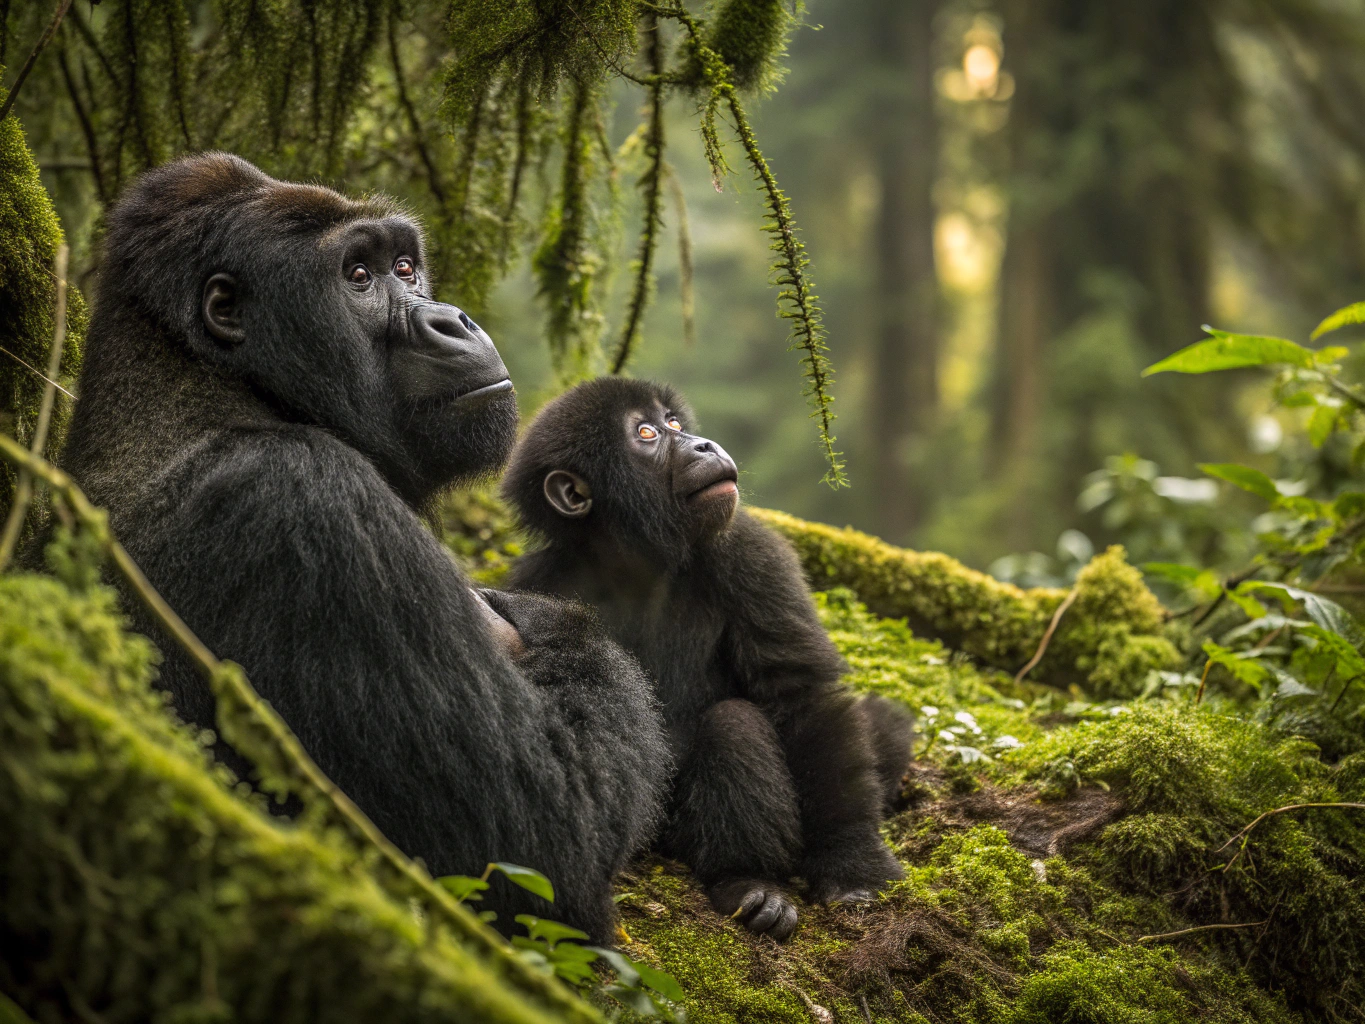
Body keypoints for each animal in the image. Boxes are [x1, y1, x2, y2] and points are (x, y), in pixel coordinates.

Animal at [58, 153, 670, 941]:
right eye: (357, 276)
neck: (211, 378)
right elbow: (539, 839)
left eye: (405, 267)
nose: (452, 318)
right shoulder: (306, 498)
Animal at [502, 377, 912, 940]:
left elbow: (801, 697)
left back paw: (747, 879)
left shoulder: (749, 549)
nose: (703, 444)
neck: (634, 565)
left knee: (734, 723)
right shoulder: (537, 584)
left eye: (673, 422)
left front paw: (852, 861)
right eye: (647, 434)